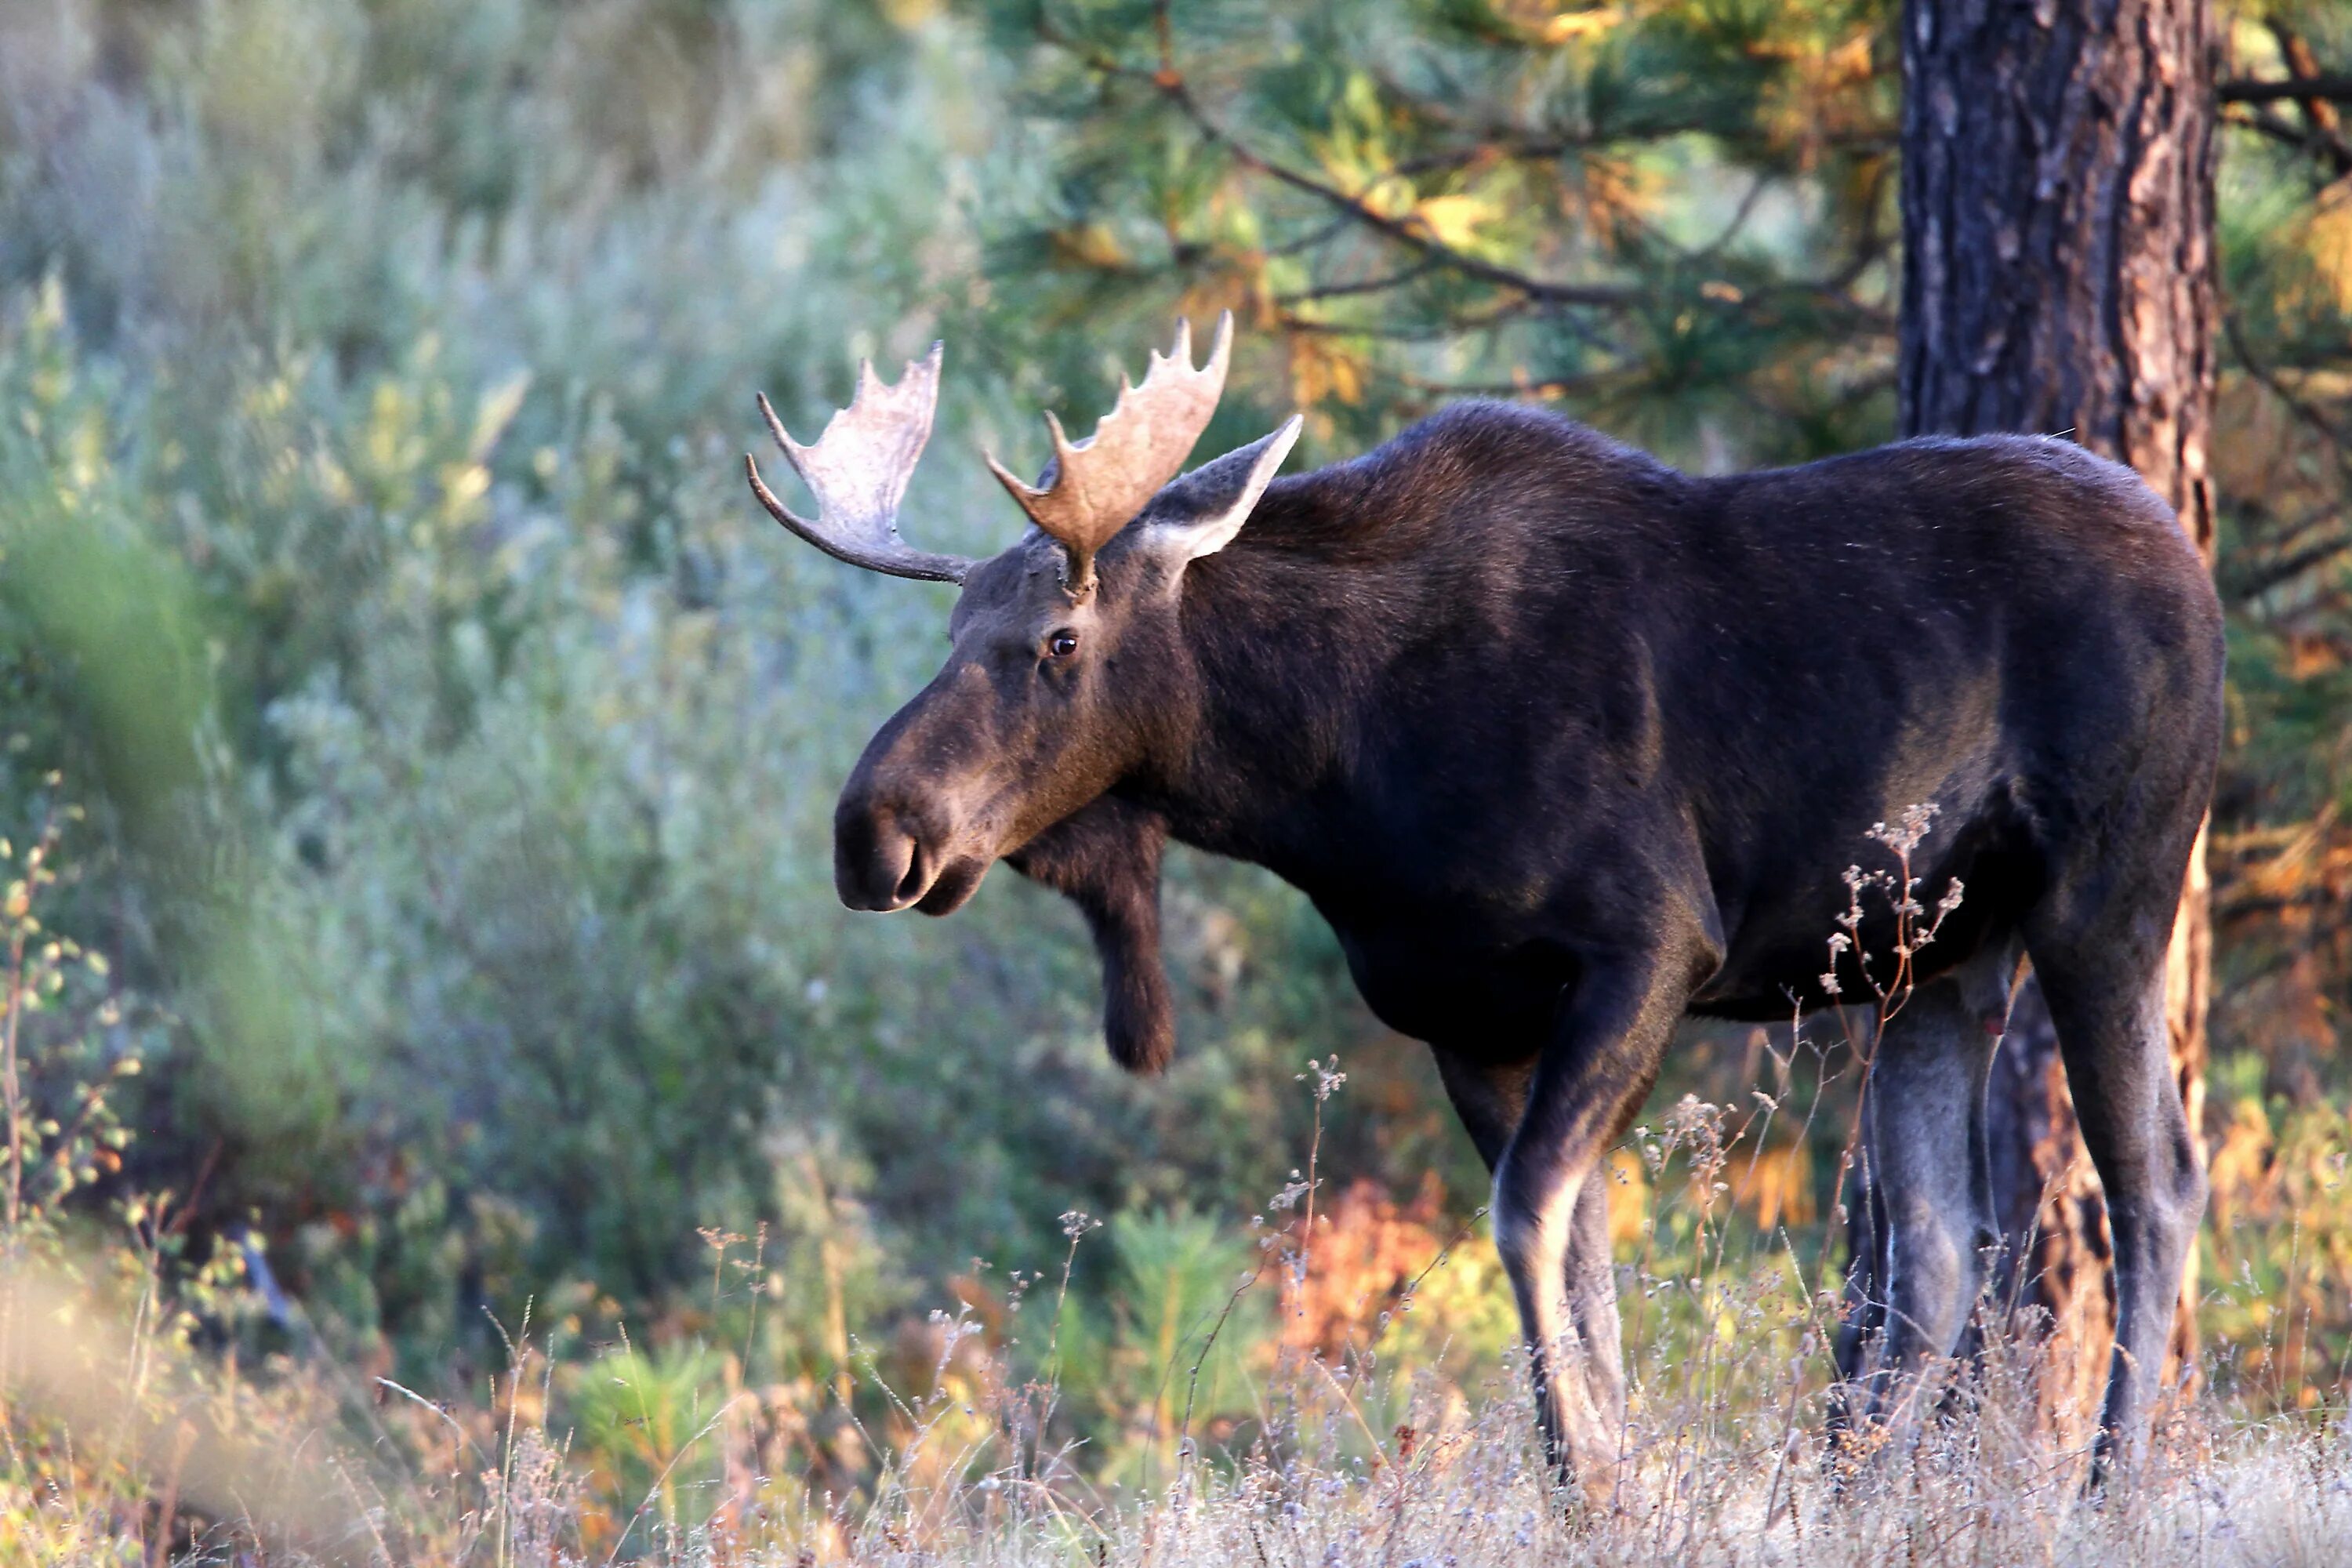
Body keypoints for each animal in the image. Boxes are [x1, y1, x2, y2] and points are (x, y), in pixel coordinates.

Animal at [743, 314, 2211, 1495]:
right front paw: (1600, 1477)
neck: (1338, 777)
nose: (873, 832)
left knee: (2156, 1186)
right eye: (951, 635)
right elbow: (1579, 1272)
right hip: (1934, 963)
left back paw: (2107, 1485)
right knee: (1941, 1248)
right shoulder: (1465, 1015)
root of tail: (2195, 564)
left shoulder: (1653, 943)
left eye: (1058, 642)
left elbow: (1526, 1219)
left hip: (2107, 900)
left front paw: (1599, 1479)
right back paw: (1852, 1494)